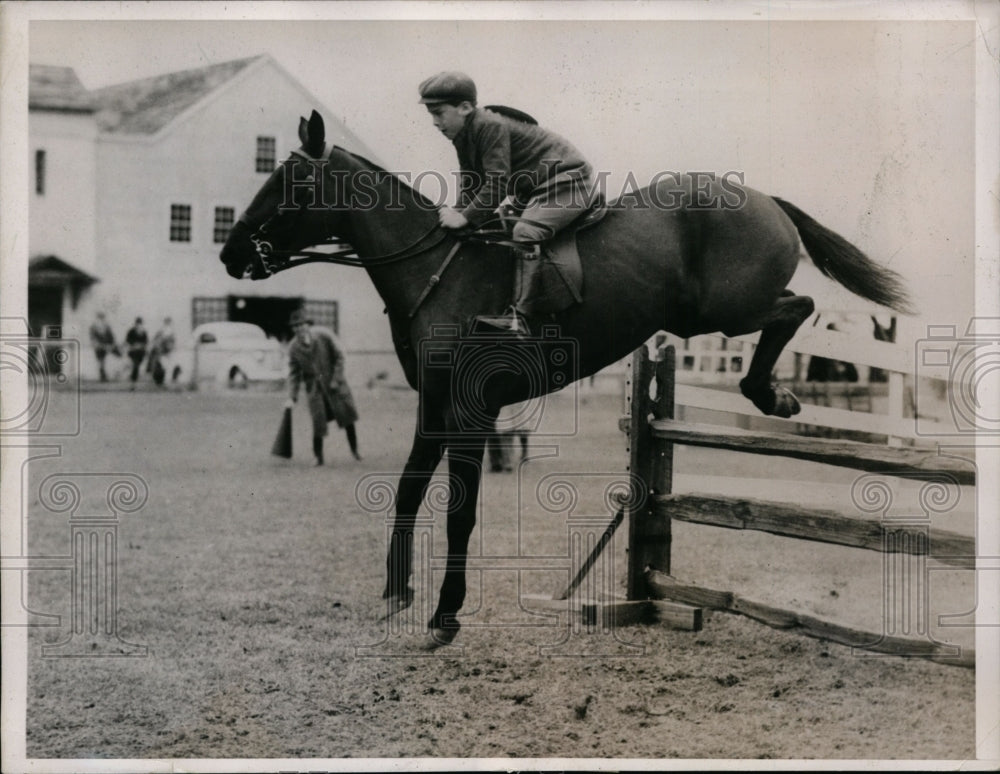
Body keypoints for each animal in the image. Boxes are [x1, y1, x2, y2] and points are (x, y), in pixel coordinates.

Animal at [221, 110, 916, 648]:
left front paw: (445, 616)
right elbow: (408, 493)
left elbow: (460, 512)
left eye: (290, 181)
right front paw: (396, 591)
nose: (230, 252)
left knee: (798, 308)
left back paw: (772, 393)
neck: (435, 271)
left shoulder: (471, 410)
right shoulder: (435, 407)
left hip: (725, 311)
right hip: (699, 316)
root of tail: (766, 197)